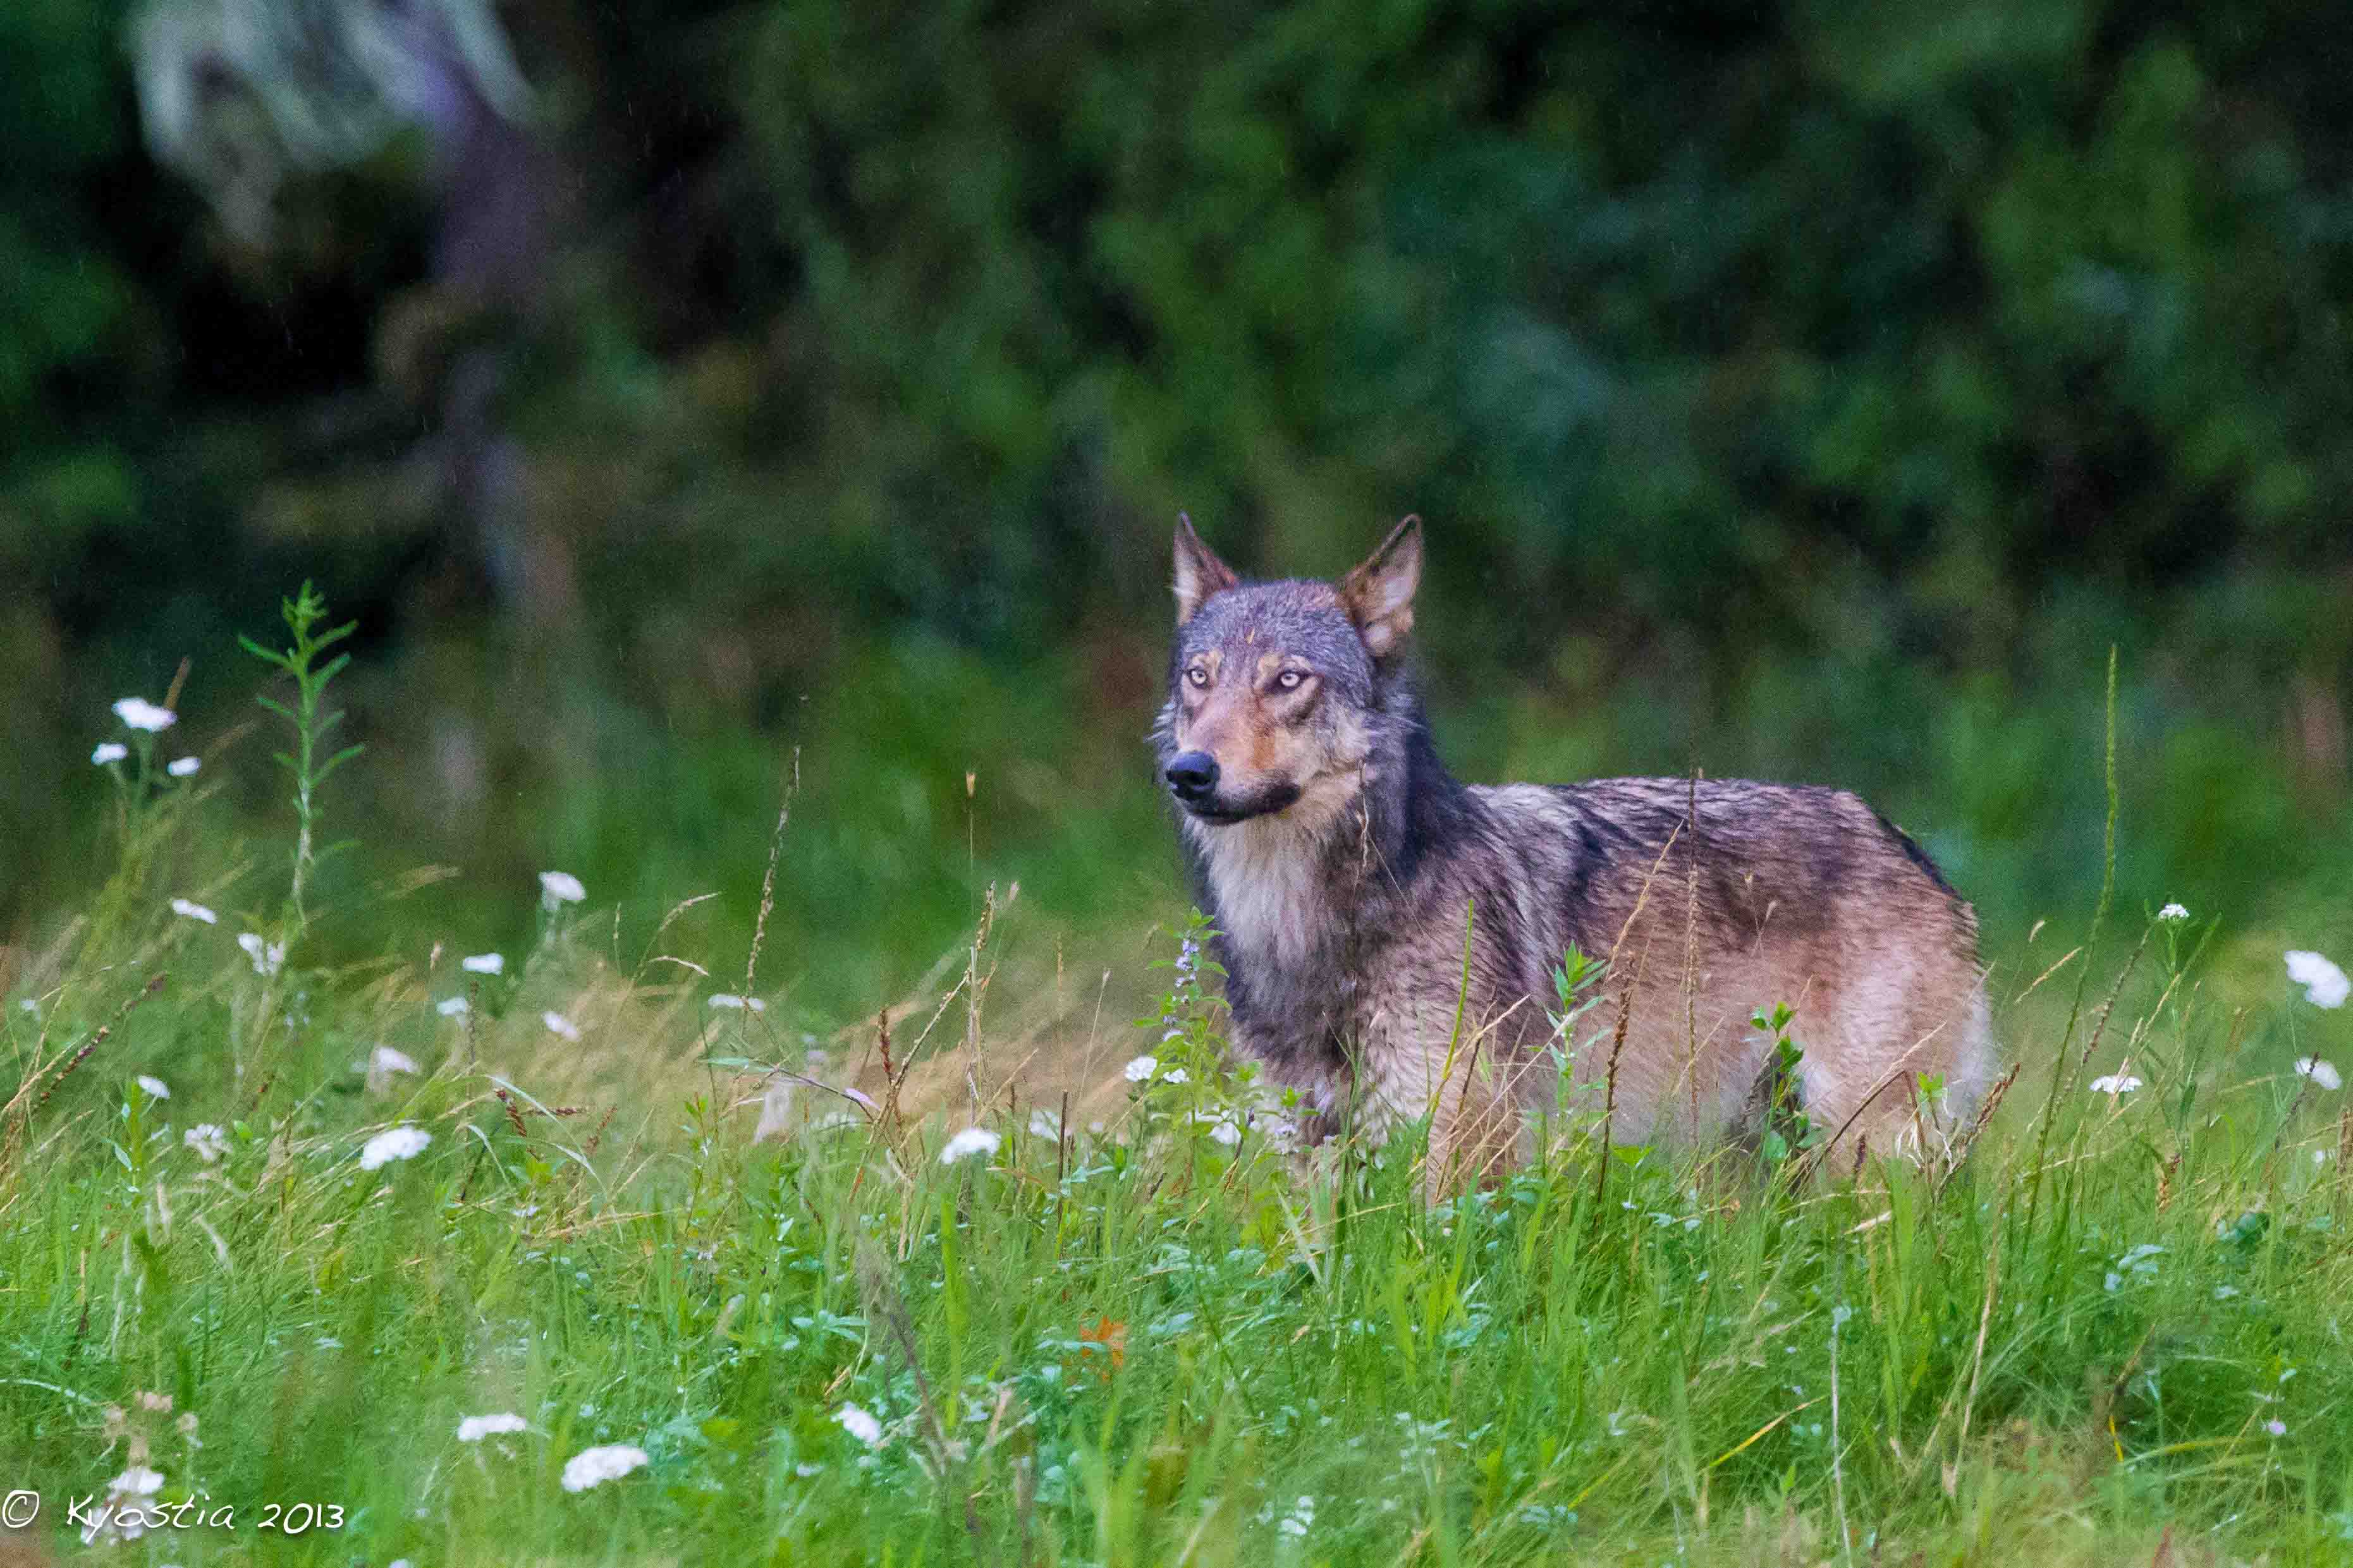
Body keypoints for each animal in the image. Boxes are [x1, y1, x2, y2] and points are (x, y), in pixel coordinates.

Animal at [1148, 517, 1995, 1189]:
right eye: (1199, 678)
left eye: (1288, 681)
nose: (1188, 772)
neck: (1308, 926)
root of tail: (1908, 846)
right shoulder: (1315, 1153)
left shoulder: (1457, 1153)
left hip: (1860, 1148)